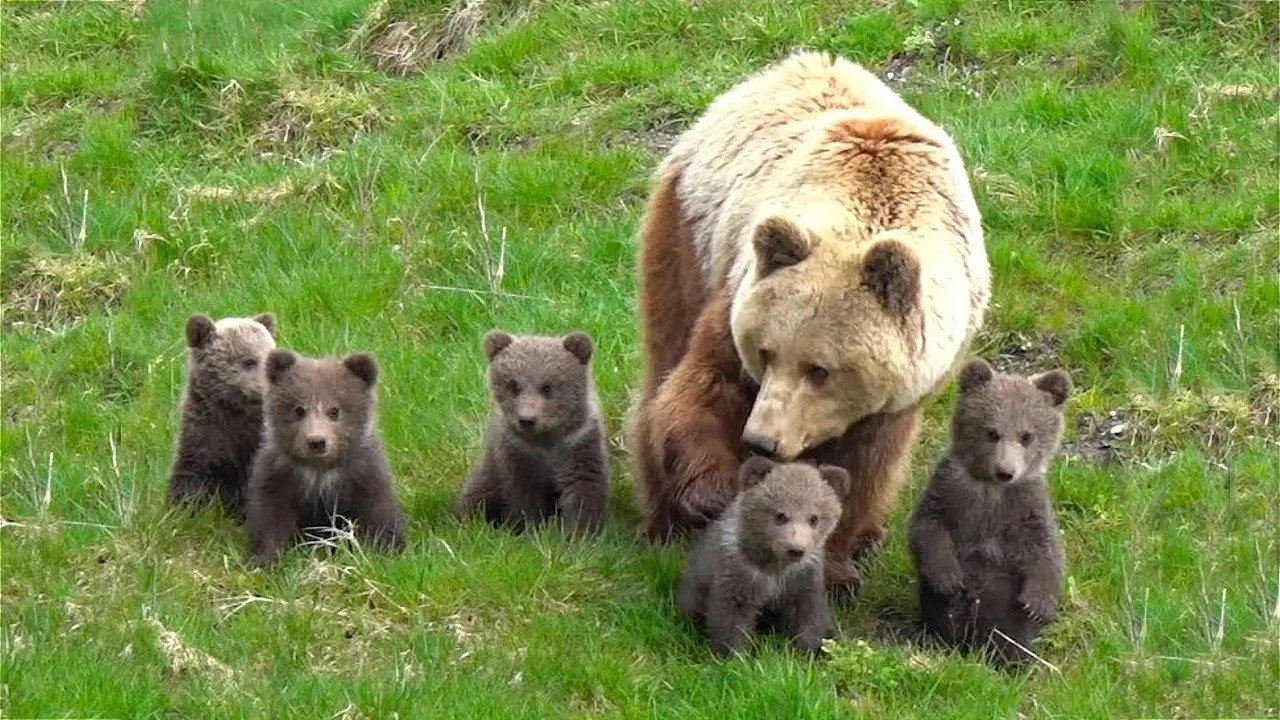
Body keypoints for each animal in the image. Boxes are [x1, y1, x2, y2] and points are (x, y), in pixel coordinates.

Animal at [629, 51, 988, 594]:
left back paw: (871, 535)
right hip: (689, 230)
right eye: (765, 351)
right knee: (664, 358)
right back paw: (663, 520)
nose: (761, 439)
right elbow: (705, 385)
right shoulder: (740, 293)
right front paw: (714, 492)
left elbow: (865, 469)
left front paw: (835, 566)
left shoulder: (907, 387)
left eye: (821, 369)